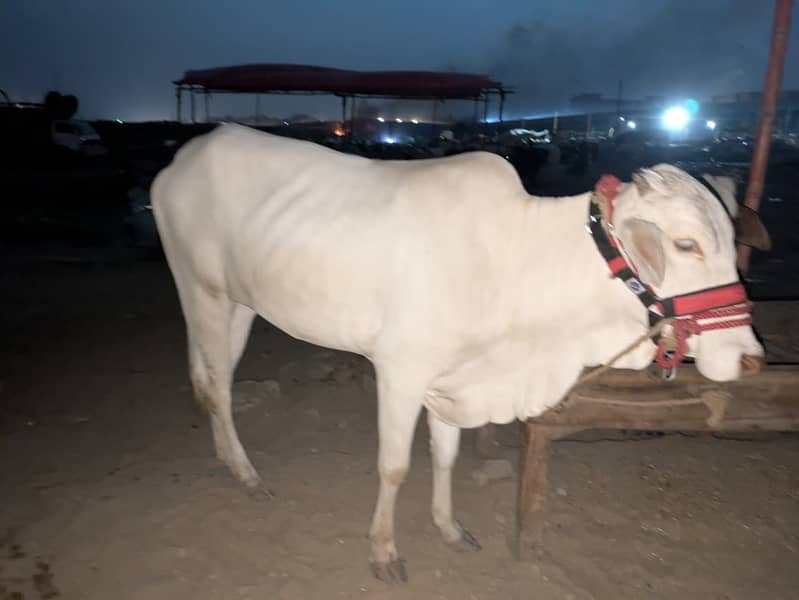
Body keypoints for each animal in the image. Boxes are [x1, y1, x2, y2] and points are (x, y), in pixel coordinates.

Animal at [151, 123, 765, 583]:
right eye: (686, 244)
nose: (752, 358)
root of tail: (185, 157)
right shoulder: (399, 370)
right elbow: (395, 465)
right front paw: (384, 551)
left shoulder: (451, 379)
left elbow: (444, 457)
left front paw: (448, 528)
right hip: (201, 293)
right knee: (214, 387)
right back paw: (247, 474)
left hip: (239, 304)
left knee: (214, 381)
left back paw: (231, 461)